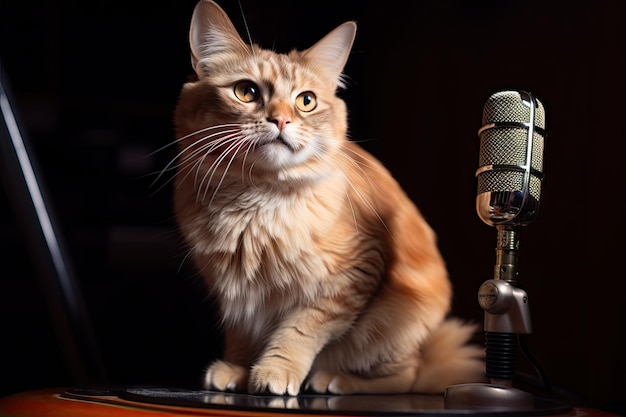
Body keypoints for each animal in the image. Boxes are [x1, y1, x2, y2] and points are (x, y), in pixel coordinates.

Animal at [169, 0, 482, 394]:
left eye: (306, 101)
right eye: (246, 92)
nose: (281, 121)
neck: (255, 197)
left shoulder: (349, 277)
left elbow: (298, 332)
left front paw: (274, 372)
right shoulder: (236, 292)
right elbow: (243, 336)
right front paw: (239, 369)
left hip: (393, 325)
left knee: (407, 377)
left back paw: (335, 381)